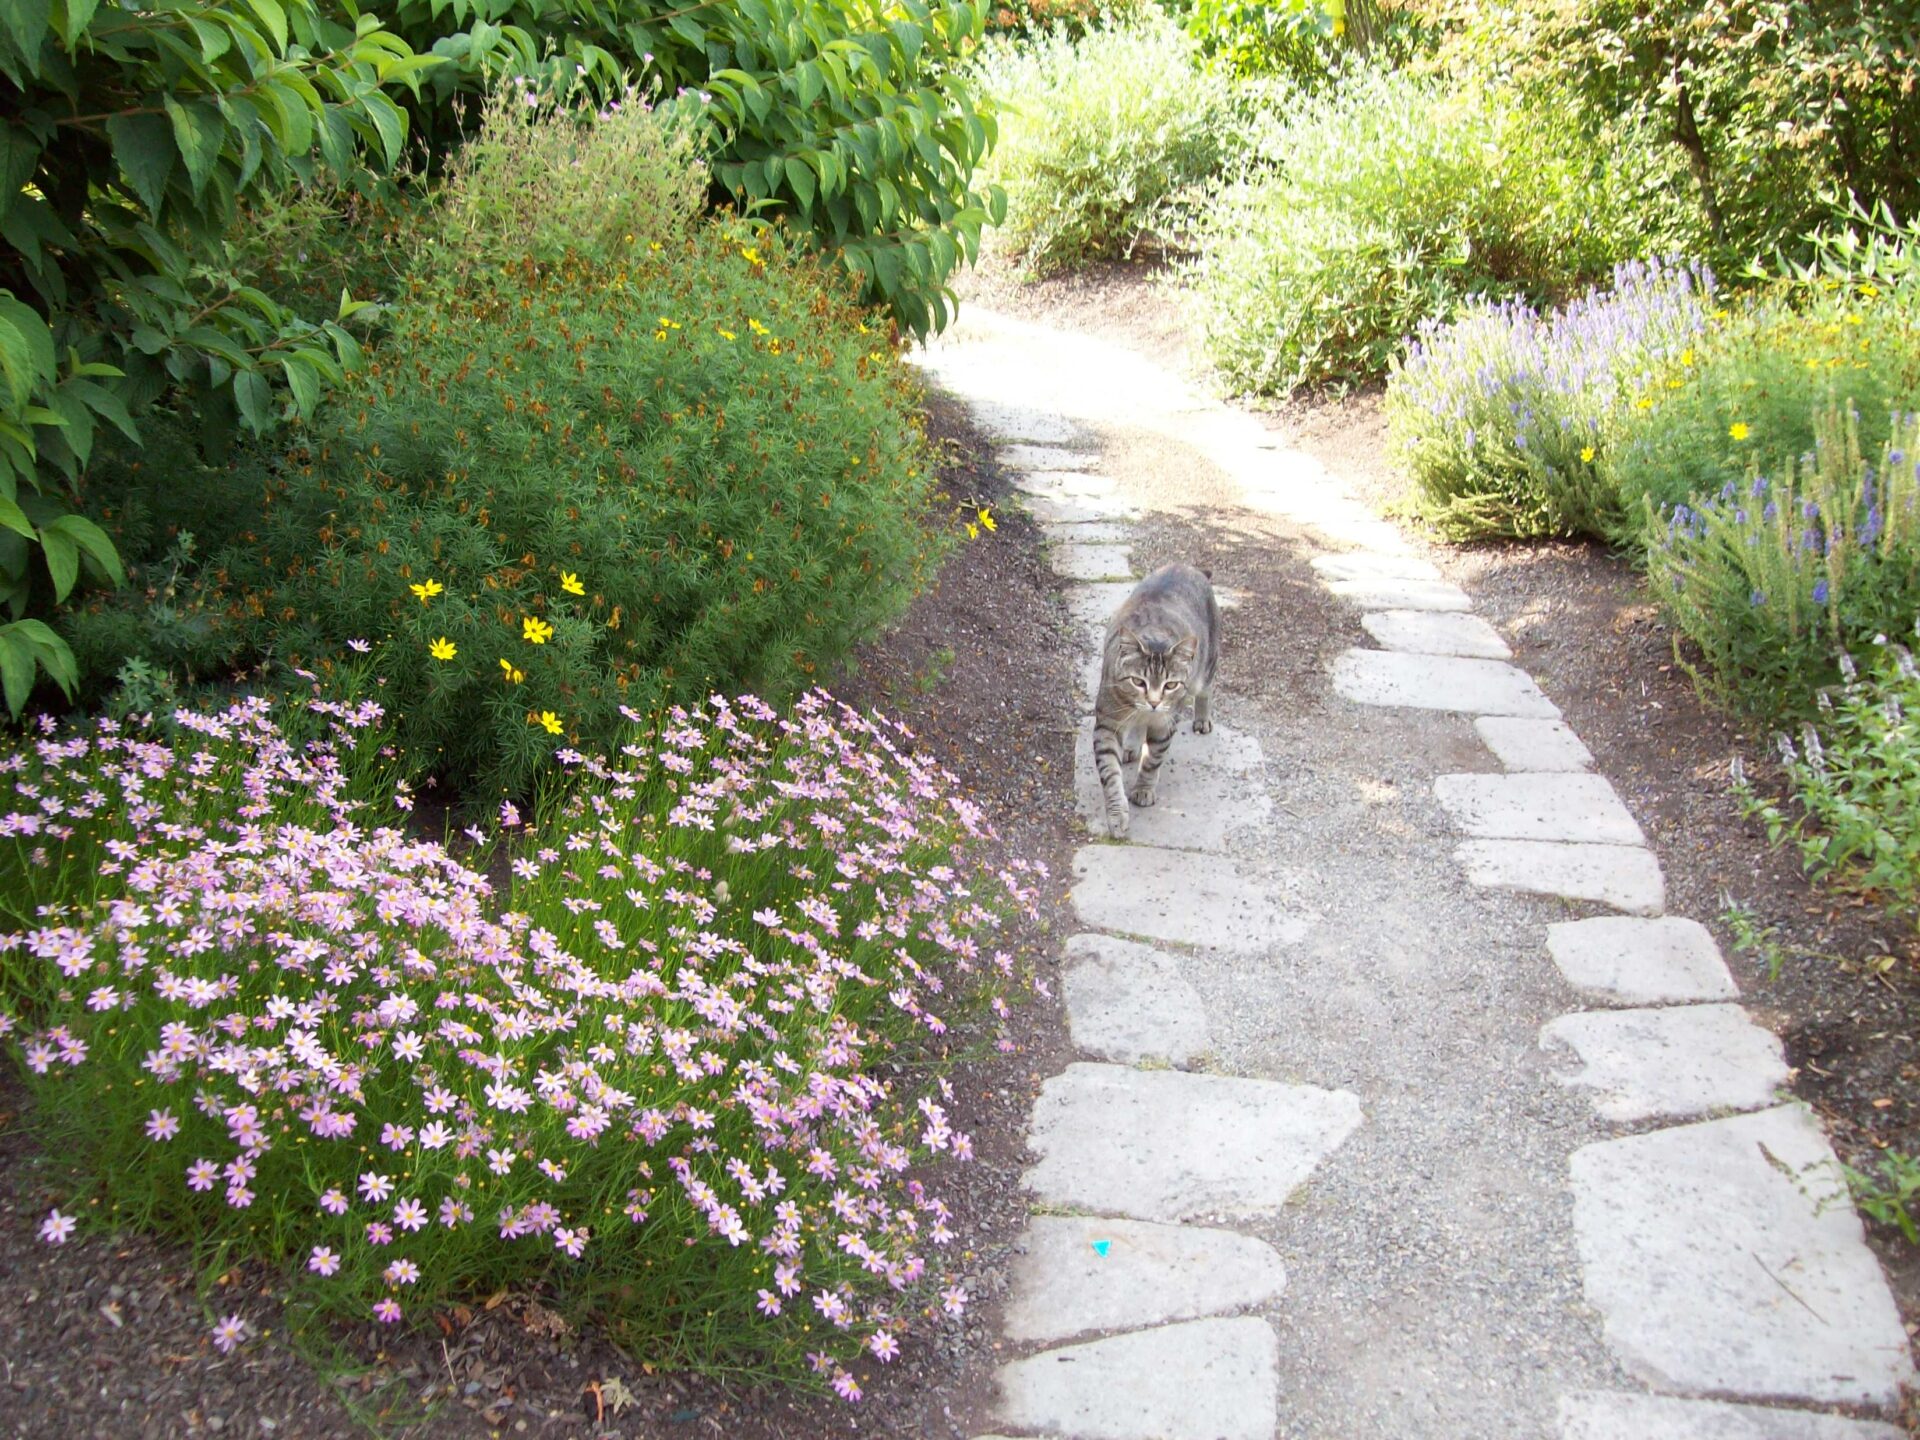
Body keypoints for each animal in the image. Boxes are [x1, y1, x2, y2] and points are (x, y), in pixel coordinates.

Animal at [1098, 560, 1213, 840]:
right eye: (1138, 681)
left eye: (1170, 685)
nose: (1153, 702)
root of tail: (1188, 566)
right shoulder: (1108, 722)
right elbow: (1110, 771)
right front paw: (1117, 814)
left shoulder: (1164, 723)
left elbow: (1152, 760)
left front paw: (1143, 788)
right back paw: (1132, 745)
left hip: (1206, 668)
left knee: (1205, 690)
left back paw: (1202, 718)